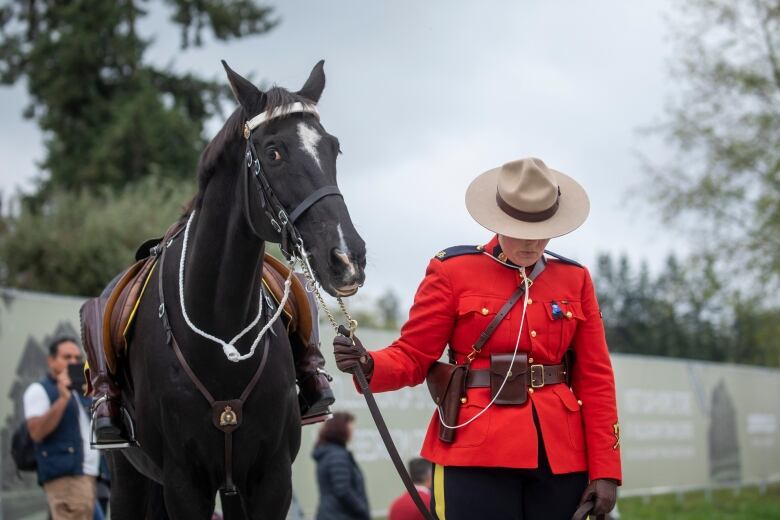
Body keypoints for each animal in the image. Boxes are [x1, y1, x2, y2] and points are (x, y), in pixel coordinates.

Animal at [103, 62, 366, 520]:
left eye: (333, 149)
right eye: (274, 152)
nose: (347, 256)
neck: (220, 329)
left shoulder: (270, 479)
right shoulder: (184, 483)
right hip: (127, 476)